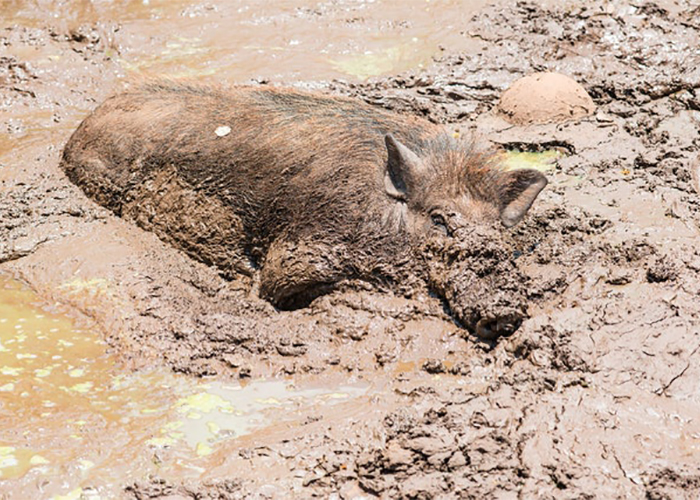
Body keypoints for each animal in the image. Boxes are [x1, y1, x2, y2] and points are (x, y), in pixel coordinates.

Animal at [61, 82, 548, 338]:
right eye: (438, 219)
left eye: (496, 229)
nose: (505, 313)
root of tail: (77, 133)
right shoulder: (298, 253)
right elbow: (277, 284)